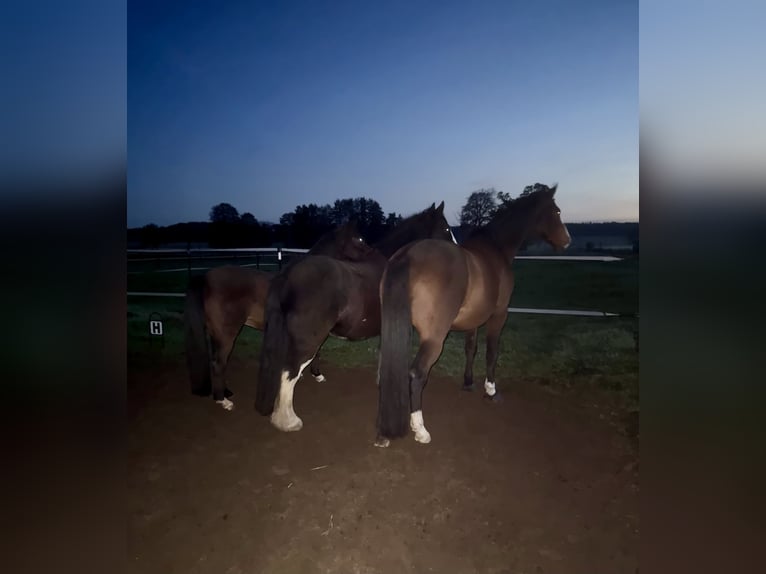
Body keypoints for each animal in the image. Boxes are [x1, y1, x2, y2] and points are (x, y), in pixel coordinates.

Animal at [184, 220, 373, 410]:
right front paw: (317, 375)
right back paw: (223, 400)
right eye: (360, 239)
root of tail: (206, 278)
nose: (372, 256)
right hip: (227, 334)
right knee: (219, 364)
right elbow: (316, 351)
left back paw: (226, 392)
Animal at [255, 201, 455, 432]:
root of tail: (289, 272)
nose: (458, 250)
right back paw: (288, 421)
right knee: (289, 371)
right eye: (446, 228)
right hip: (307, 339)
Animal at [375, 185, 571, 447]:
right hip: (434, 338)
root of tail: (408, 255)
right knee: (416, 373)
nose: (567, 240)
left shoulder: (473, 320)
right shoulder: (499, 314)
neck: (496, 249)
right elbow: (491, 352)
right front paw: (491, 390)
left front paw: (468, 383)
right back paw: (420, 429)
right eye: (557, 211)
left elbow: (471, 348)